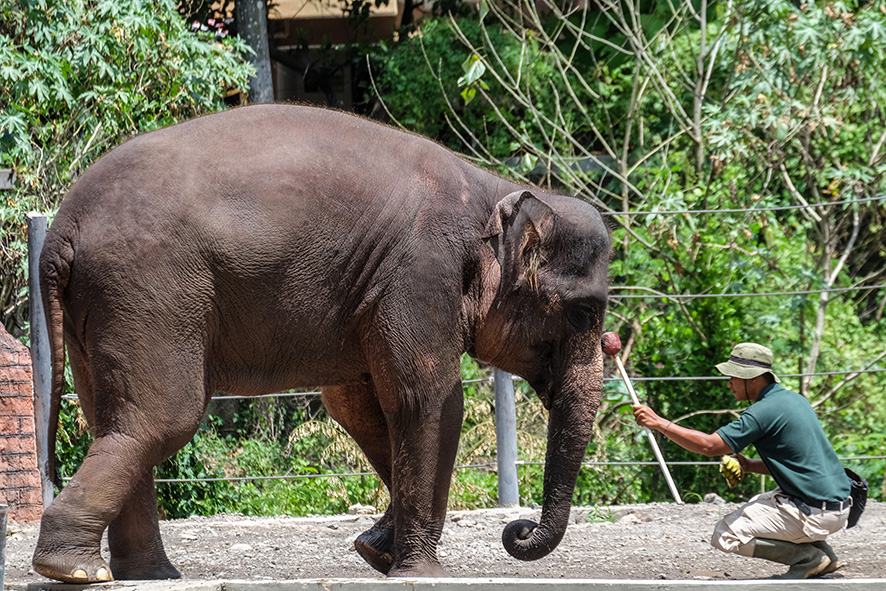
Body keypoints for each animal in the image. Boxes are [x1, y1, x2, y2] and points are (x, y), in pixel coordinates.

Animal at [29, 104, 612, 584]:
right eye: (585, 312)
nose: (517, 531)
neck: (492, 190)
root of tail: (61, 229)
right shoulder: (421, 274)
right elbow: (429, 401)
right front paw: (419, 573)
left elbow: (357, 408)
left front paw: (375, 550)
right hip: (150, 290)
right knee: (160, 418)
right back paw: (73, 570)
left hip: (103, 305)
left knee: (112, 418)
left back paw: (144, 574)